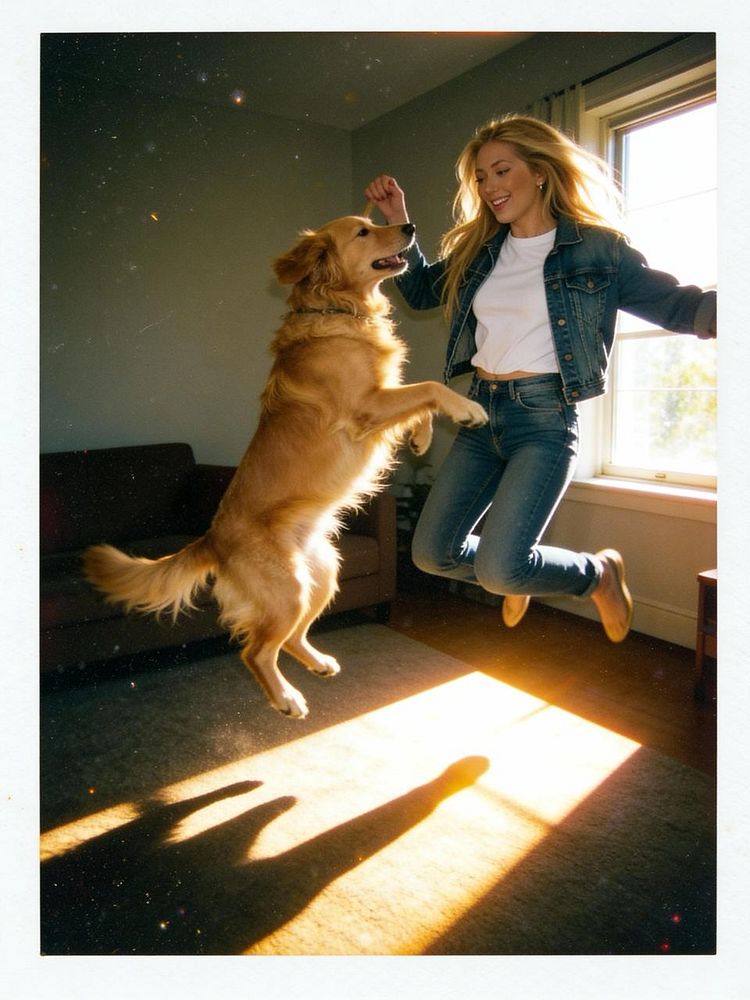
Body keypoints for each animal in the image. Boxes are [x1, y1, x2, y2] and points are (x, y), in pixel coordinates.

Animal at [84, 215, 488, 718]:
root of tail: (212, 538)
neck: (337, 309)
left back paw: (317, 663)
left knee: (291, 638)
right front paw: (466, 409)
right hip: (289, 591)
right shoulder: (367, 405)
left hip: (323, 573)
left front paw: (422, 437)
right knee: (256, 650)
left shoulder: (382, 398)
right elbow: (431, 386)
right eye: (363, 231)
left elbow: (422, 398)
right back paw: (285, 697)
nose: (410, 226)